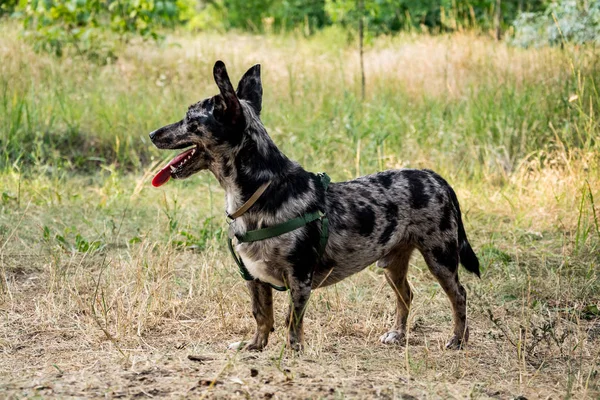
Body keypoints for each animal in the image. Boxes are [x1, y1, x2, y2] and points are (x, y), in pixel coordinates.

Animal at [151, 61, 482, 352]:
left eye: (190, 119)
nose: (153, 134)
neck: (262, 189)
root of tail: (436, 177)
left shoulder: (299, 278)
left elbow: (291, 320)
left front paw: (293, 351)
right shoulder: (255, 278)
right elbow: (261, 316)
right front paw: (254, 346)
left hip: (440, 258)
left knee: (459, 295)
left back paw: (458, 339)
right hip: (392, 263)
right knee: (406, 295)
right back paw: (398, 335)